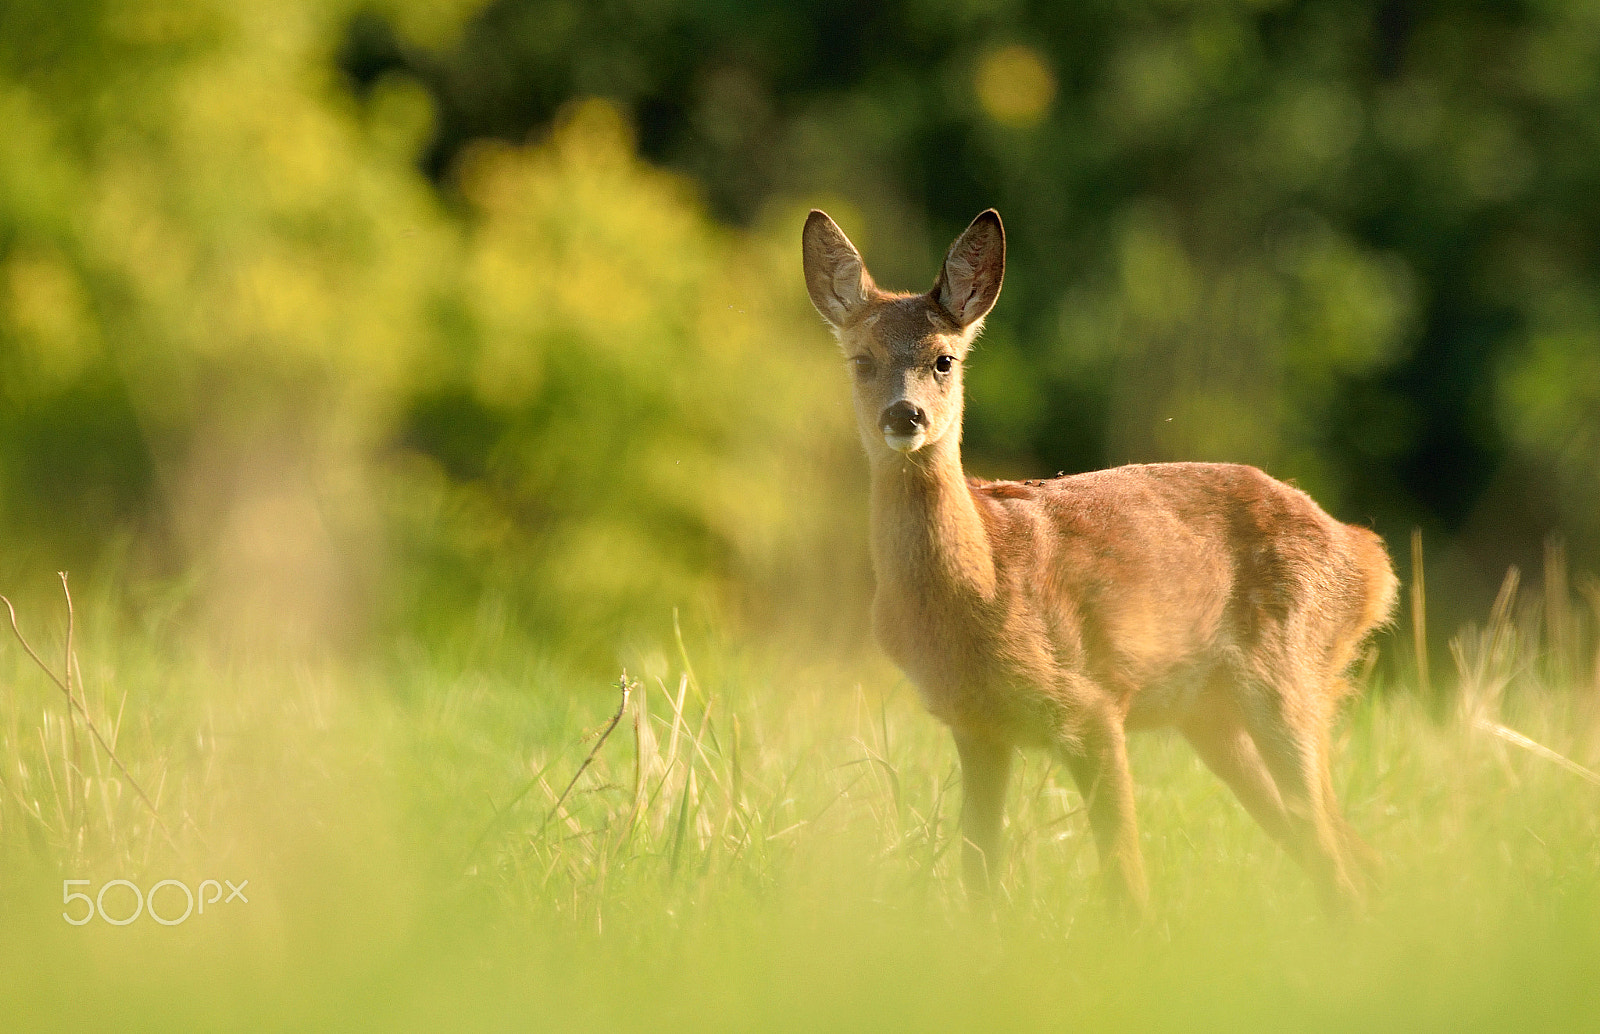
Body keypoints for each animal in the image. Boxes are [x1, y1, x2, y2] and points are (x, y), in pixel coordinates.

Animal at [802, 207, 1398, 914]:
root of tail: (1369, 558)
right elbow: (980, 876)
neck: (980, 582)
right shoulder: (977, 728)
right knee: (1346, 853)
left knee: (1336, 858)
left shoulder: (1093, 705)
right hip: (1213, 715)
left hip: (1289, 676)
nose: (905, 414)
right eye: (862, 360)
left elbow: (1126, 886)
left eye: (944, 359)